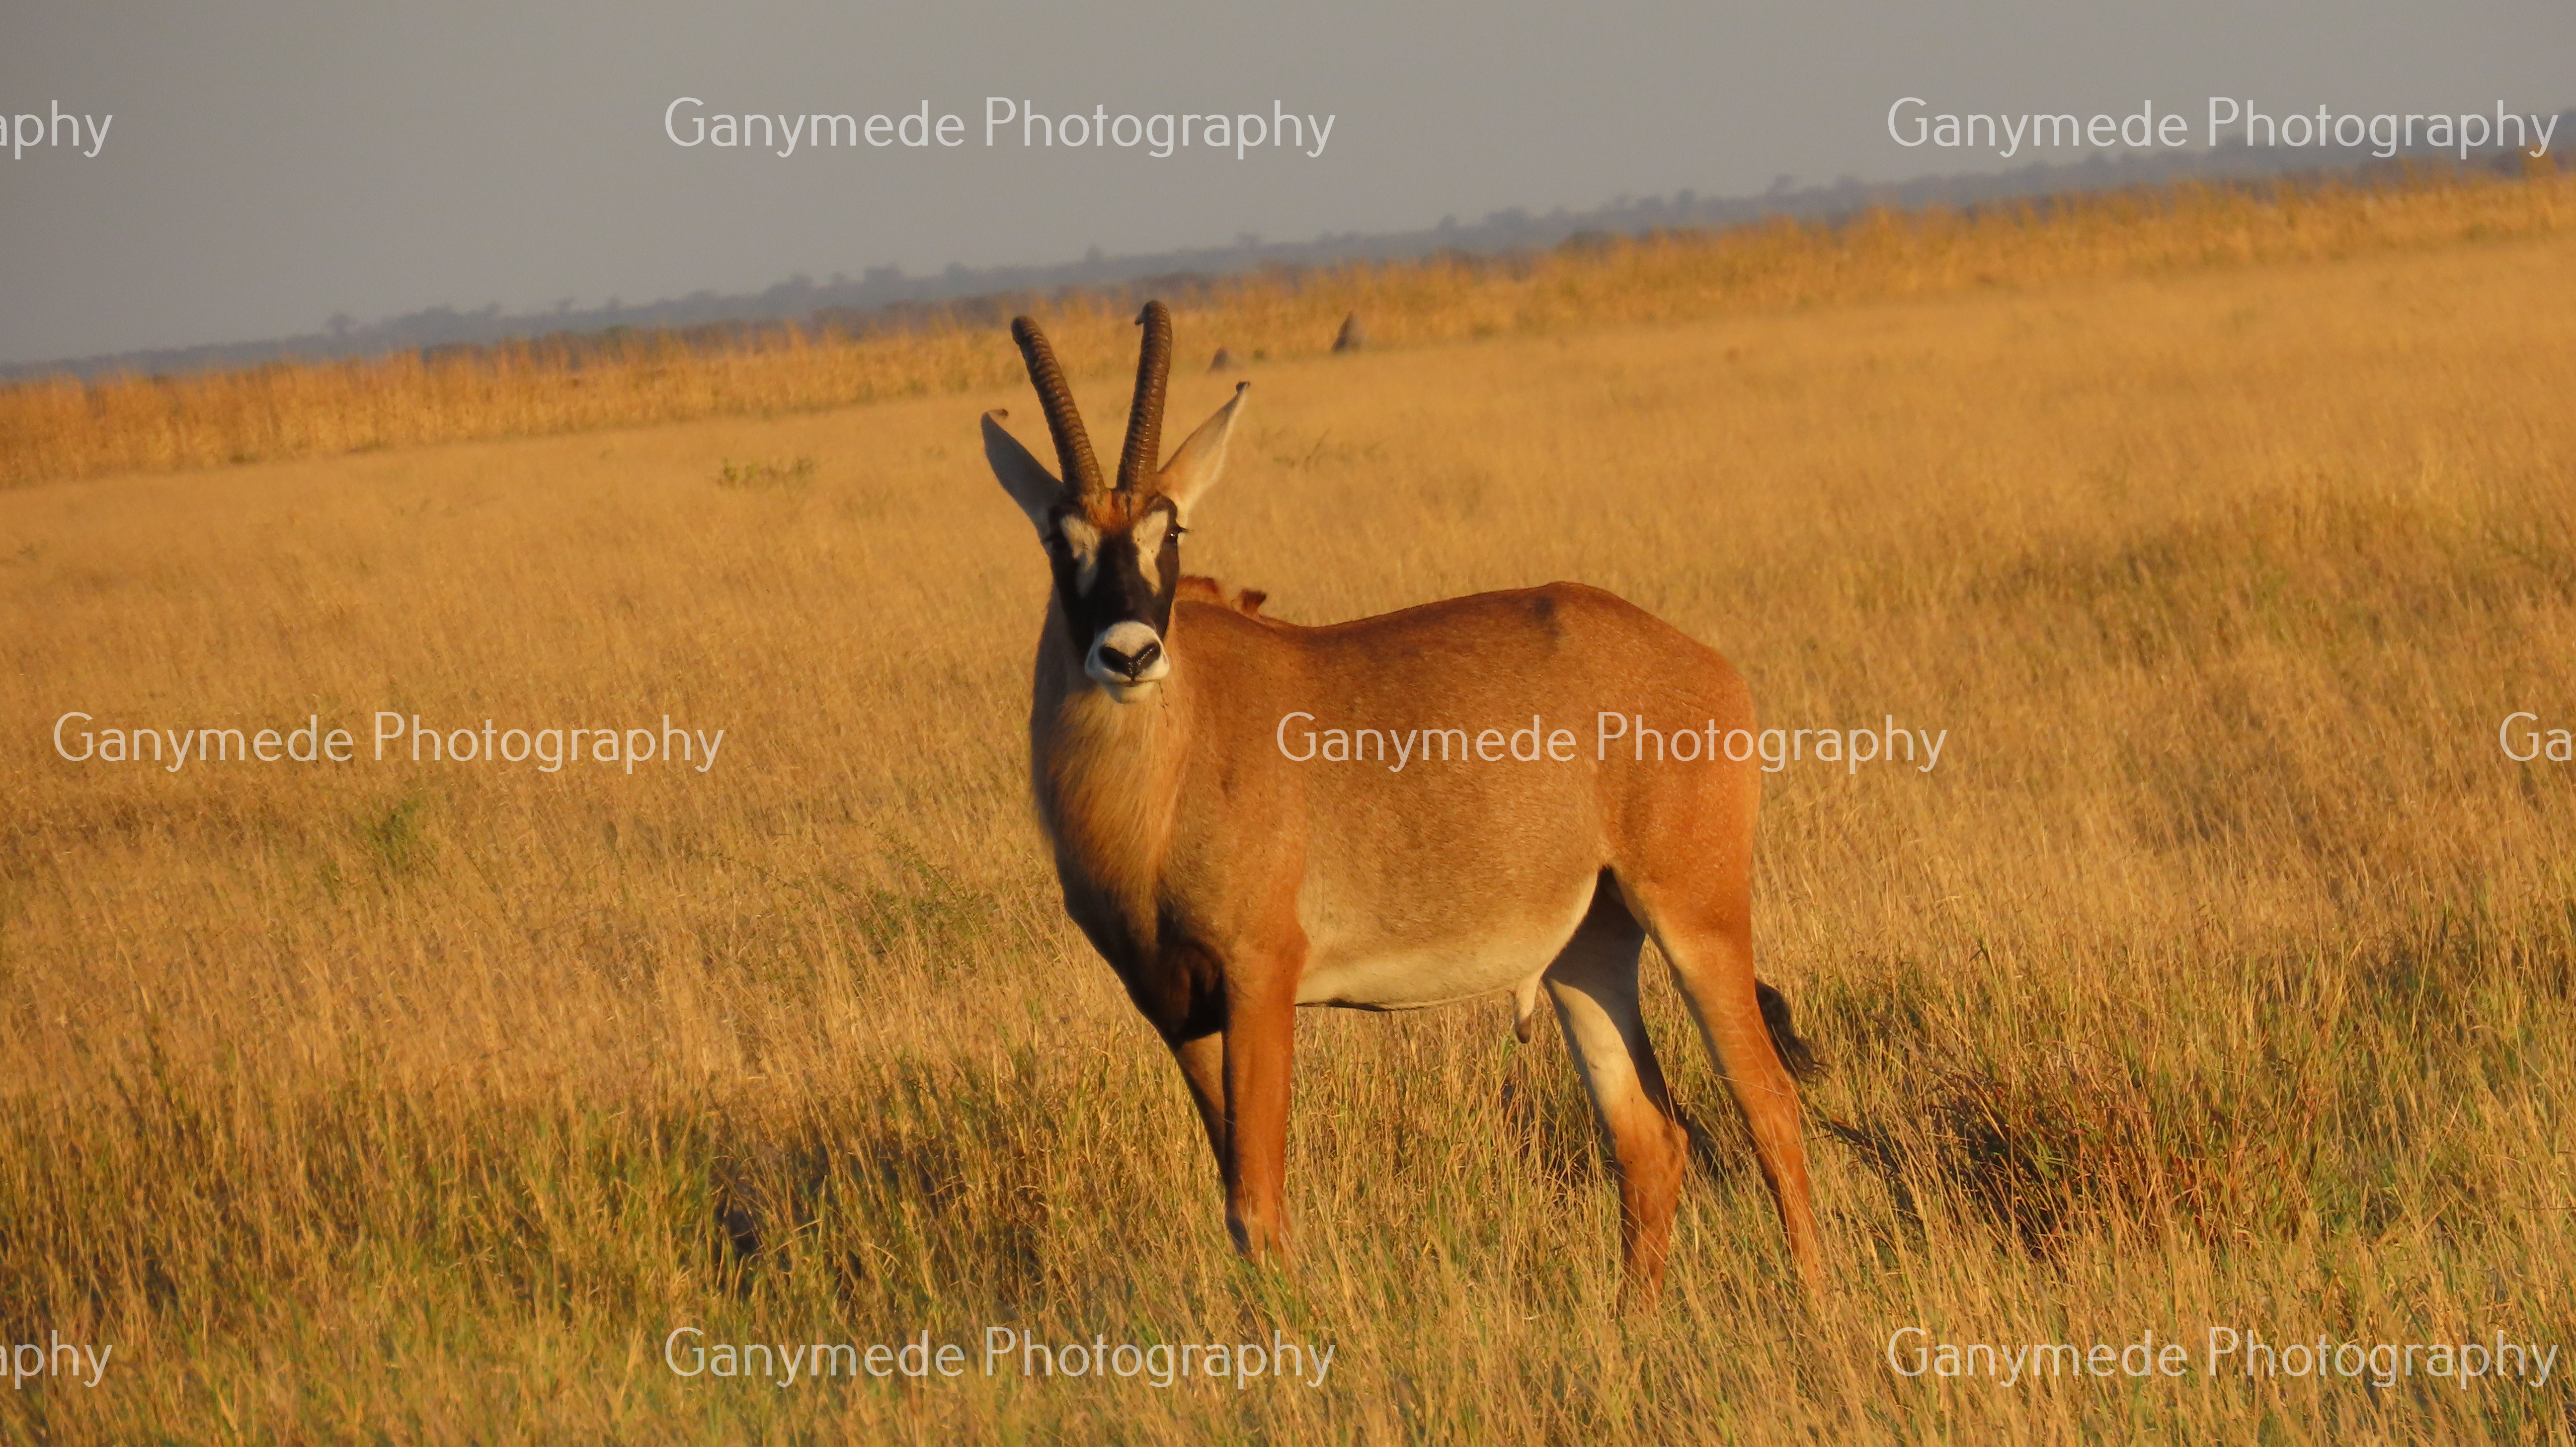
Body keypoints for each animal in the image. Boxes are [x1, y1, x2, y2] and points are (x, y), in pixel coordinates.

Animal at [980, 302, 1823, 1301]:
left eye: (1171, 529)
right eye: (1057, 540)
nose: (1129, 654)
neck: (1173, 764)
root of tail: (1706, 666)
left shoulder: (1259, 983)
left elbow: (1259, 1211)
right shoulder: (1174, 1010)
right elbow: (1237, 1209)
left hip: (1695, 917)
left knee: (1767, 1102)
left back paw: (1819, 1313)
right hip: (1588, 949)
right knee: (1649, 1135)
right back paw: (1632, 1323)